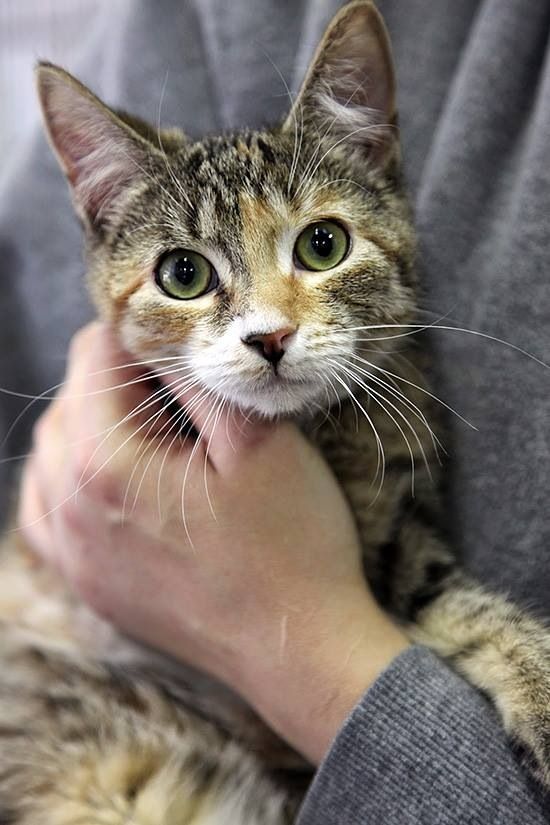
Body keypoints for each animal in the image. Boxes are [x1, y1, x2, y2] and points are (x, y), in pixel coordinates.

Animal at [1, 1, 550, 816]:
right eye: (183, 273)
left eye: (323, 244)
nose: (270, 336)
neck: (316, 432)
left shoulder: (400, 514)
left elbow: (446, 596)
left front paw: (537, 682)